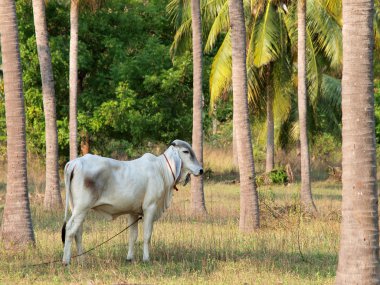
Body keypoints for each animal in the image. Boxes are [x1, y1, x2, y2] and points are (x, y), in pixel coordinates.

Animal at [61, 140, 203, 264]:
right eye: (186, 151)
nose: (201, 170)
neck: (161, 170)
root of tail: (75, 162)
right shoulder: (150, 207)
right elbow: (147, 235)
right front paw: (146, 259)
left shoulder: (133, 212)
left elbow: (132, 236)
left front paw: (129, 258)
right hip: (82, 208)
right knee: (70, 229)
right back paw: (66, 261)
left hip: (77, 209)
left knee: (78, 233)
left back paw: (81, 260)